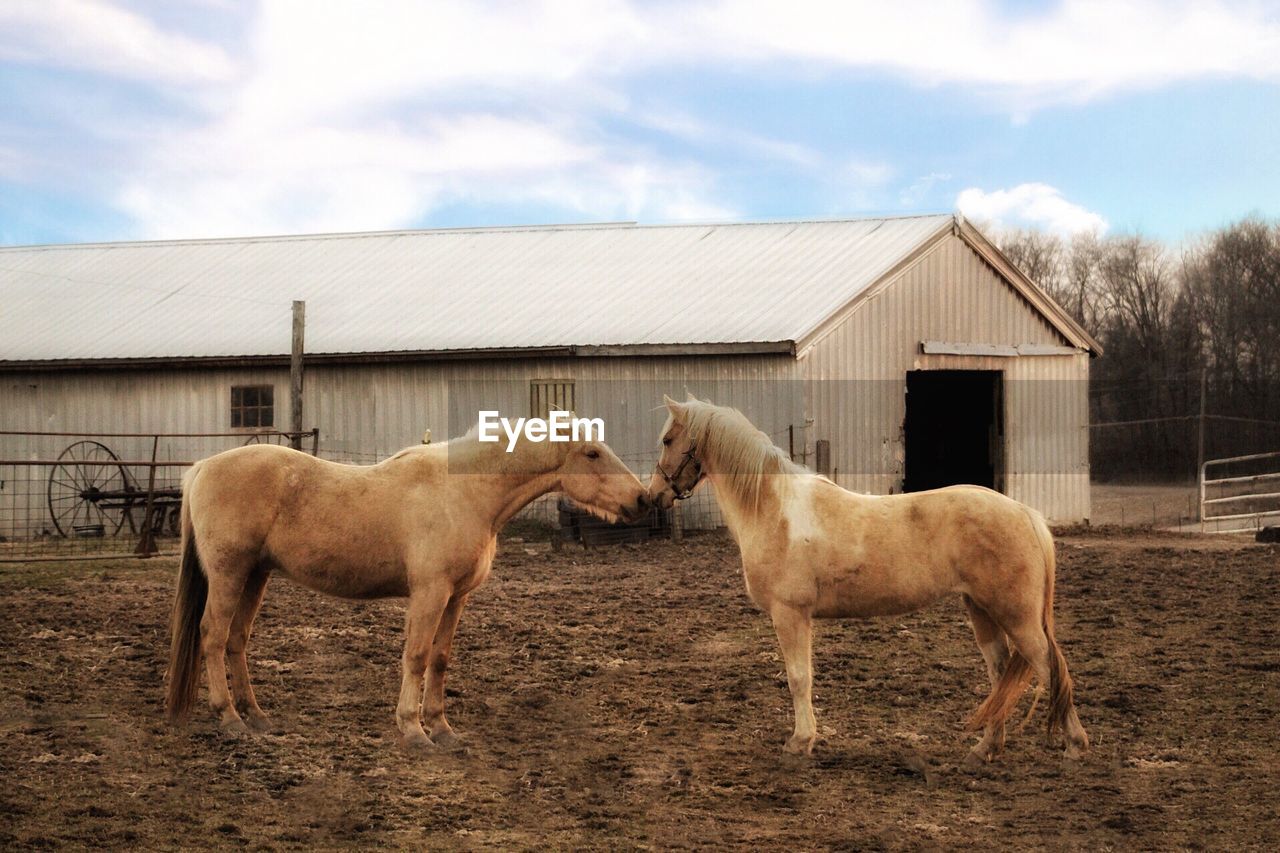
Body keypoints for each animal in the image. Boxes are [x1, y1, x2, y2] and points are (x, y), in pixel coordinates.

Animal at [167, 427, 650, 747]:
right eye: (592, 453)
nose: (643, 499)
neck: (465, 492)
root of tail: (202, 469)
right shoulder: (430, 594)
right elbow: (416, 657)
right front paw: (414, 730)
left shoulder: (456, 598)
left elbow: (439, 660)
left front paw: (442, 728)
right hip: (229, 574)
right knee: (213, 636)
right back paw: (229, 717)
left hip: (255, 575)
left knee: (237, 640)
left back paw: (255, 715)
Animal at [650, 397, 1090, 763]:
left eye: (669, 439)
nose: (654, 495)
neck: (773, 508)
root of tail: (1024, 513)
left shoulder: (789, 614)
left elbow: (798, 679)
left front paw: (800, 742)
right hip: (982, 611)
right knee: (1000, 676)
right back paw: (985, 749)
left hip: (1018, 617)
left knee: (1051, 667)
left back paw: (1075, 746)